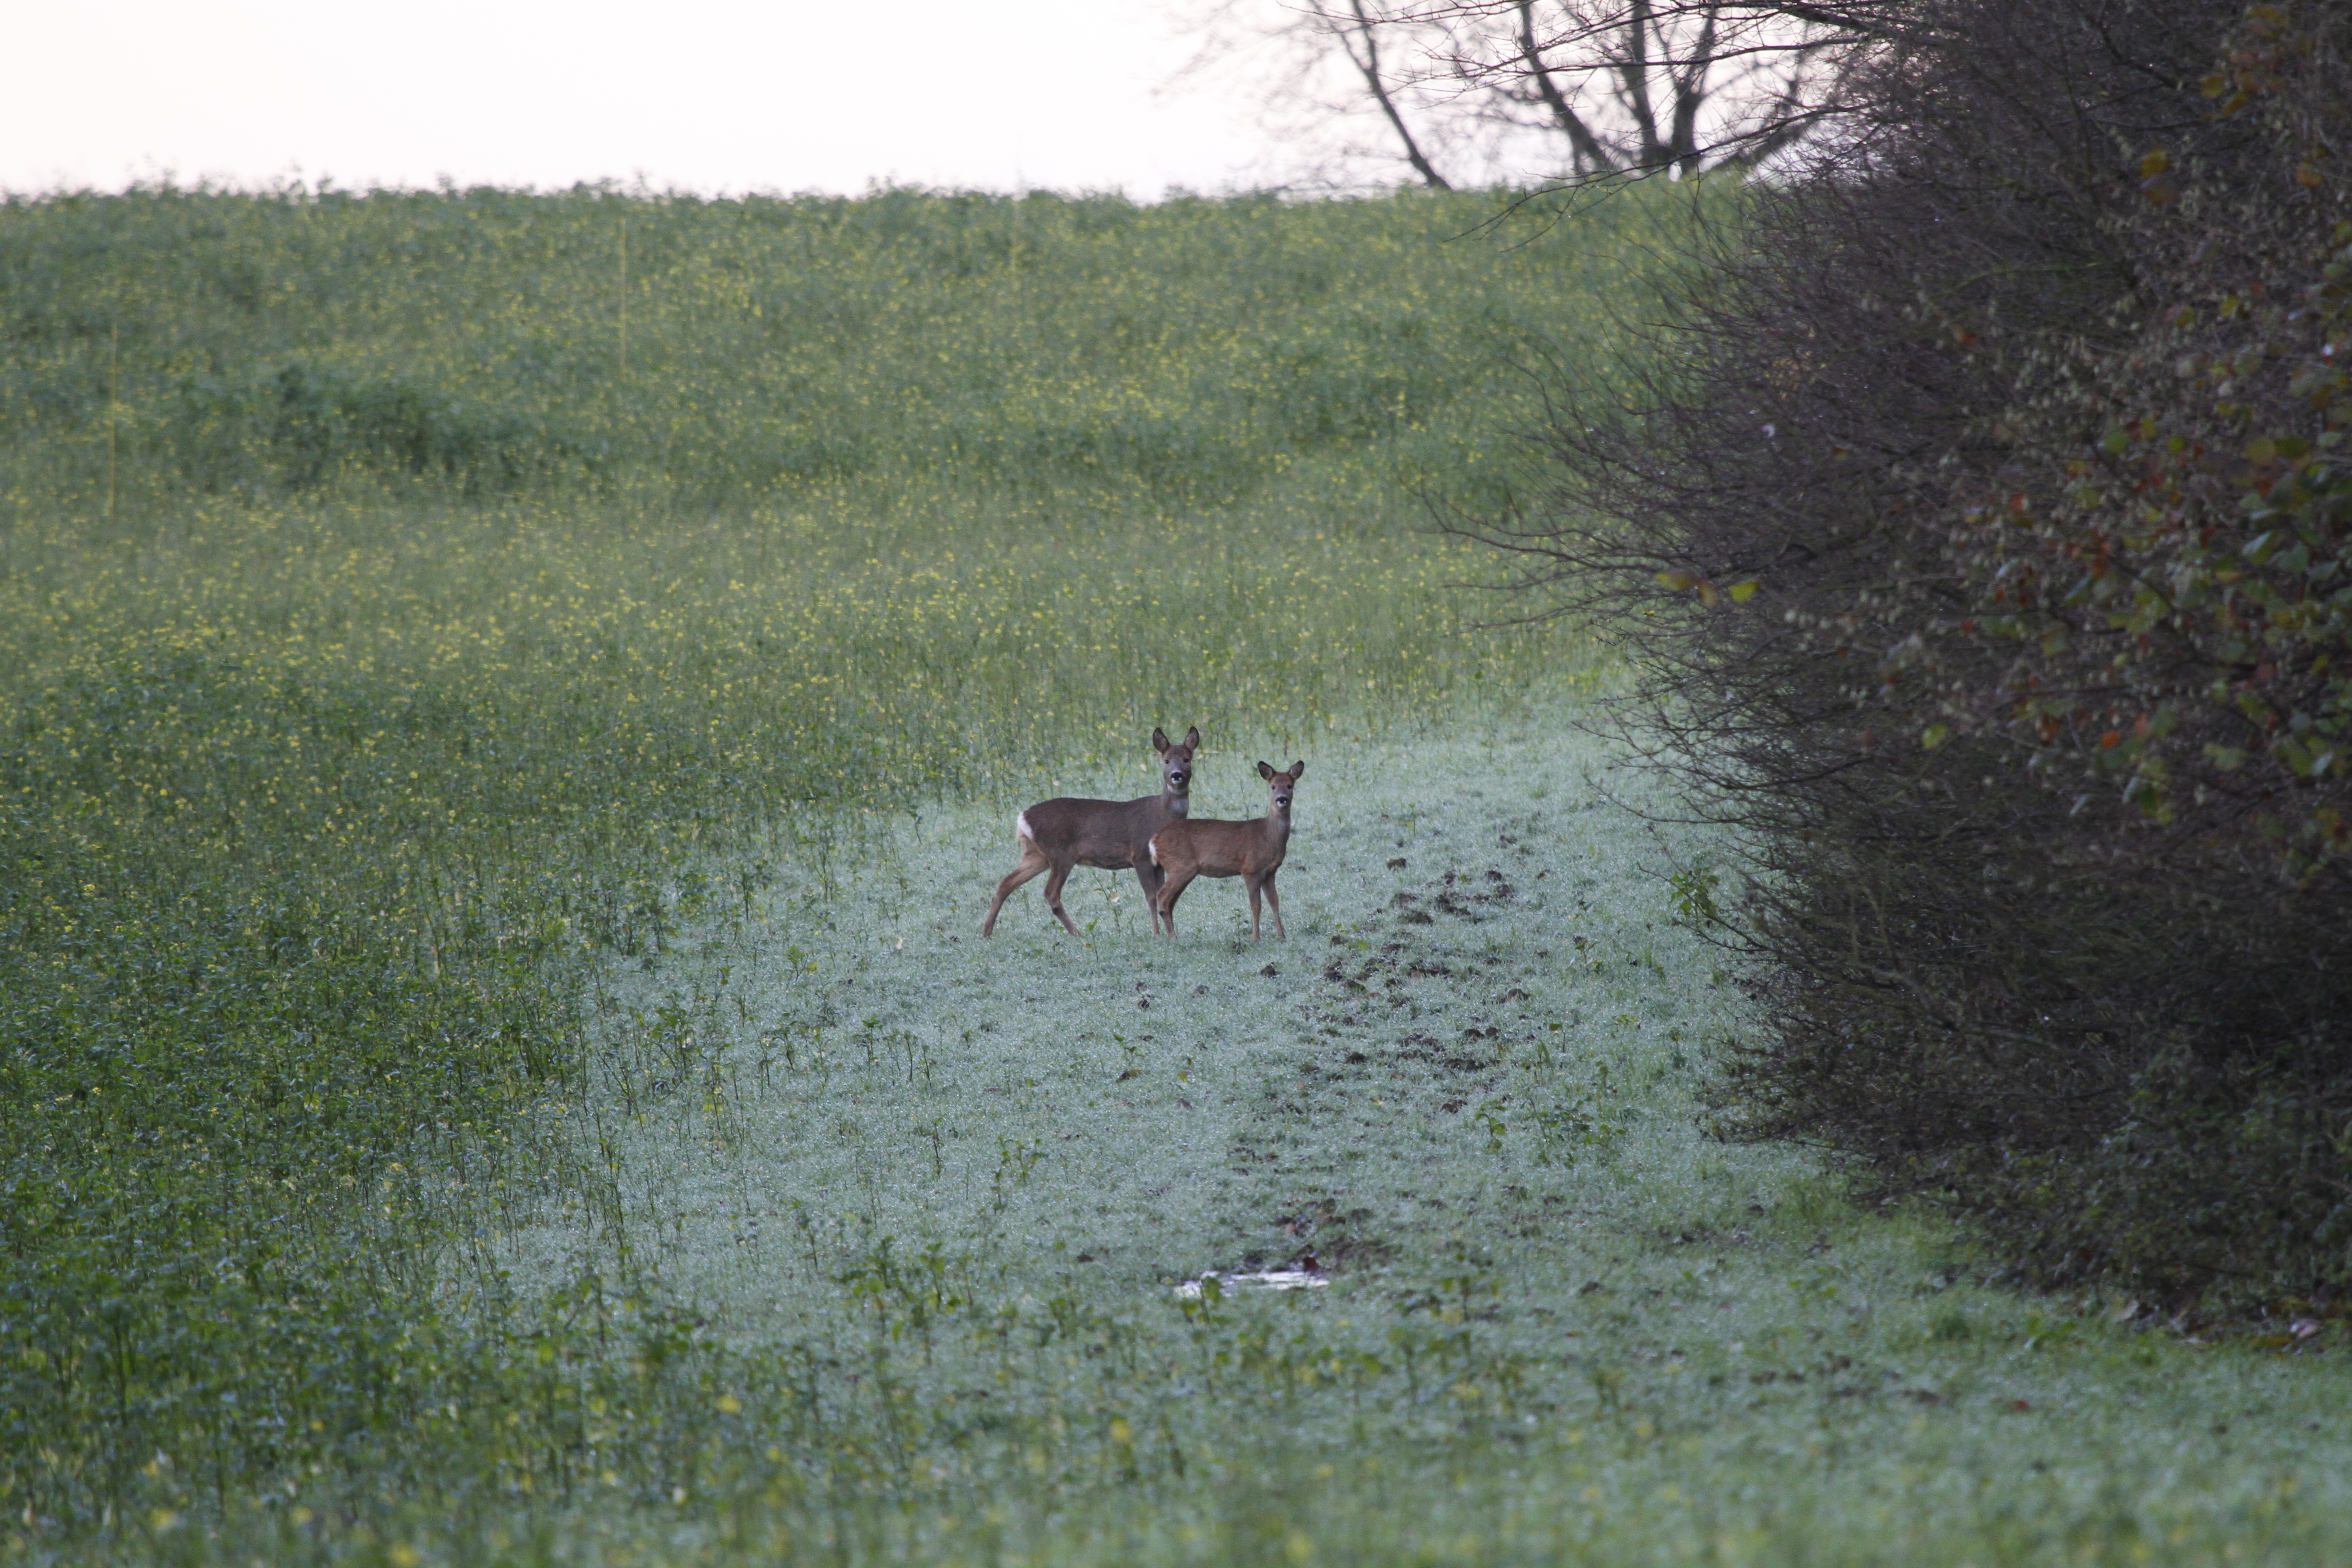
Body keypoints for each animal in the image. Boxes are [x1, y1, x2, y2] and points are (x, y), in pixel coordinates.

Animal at [978, 729, 1204, 940]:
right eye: (1166, 761)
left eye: (1187, 759)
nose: (1177, 775)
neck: (1161, 815)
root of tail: (1023, 817)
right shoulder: (1140, 854)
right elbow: (1150, 896)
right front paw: (1156, 934)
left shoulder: (1157, 863)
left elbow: (1159, 894)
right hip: (1060, 854)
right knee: (1051, 893)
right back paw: (1077, 933)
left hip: (1037, 855)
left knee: (1006, 883)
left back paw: (986, 932)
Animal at [1143, 761, 1298, 945]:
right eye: (1273, 786)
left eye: (1290, 785)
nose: (1282, 799)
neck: (1269, 835)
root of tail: (1154, 840)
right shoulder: (1251, 869)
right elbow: (1256, 905)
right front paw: (1256, 938)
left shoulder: (1270, 871)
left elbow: (1275, 902)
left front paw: (1282, 936)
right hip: (1180, 866)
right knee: (1162, 896)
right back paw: (1173, 937)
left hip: (1182, 870)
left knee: (1169, 901)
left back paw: (1173, 935)